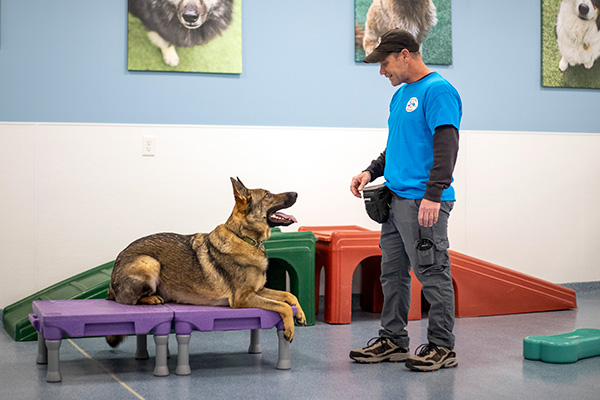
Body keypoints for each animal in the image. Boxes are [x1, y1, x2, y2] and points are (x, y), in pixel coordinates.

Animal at [105, 177, 308, 346]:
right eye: (267, 195)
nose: (296, 193)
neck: (244, 237)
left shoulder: (259, 291)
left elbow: (289, 296)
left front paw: (300, 314)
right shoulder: (243, 297)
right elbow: (282, 306)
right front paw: (290, 328)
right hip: (149, 262)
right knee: (127, 301)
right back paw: (152, 298)